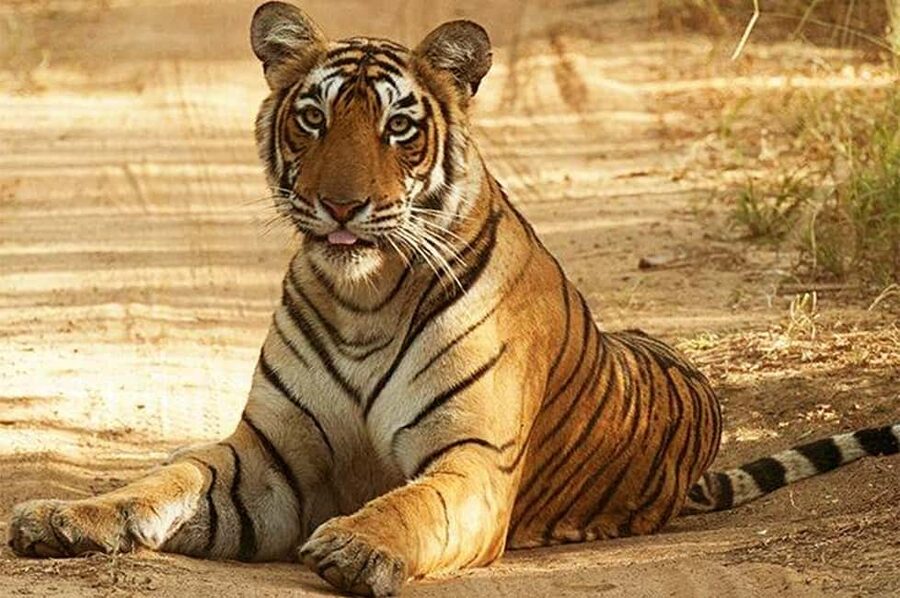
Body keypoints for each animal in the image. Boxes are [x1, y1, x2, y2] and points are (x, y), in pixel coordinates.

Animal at [8, 2, 900, 596]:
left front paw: (355, 546)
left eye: (399, 127)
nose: (341, 206)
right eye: (312, 117)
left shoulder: (472, 459)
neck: (362, 300)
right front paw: (62, 515)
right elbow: (161, 480)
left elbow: (415, 504)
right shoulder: (268, 461)